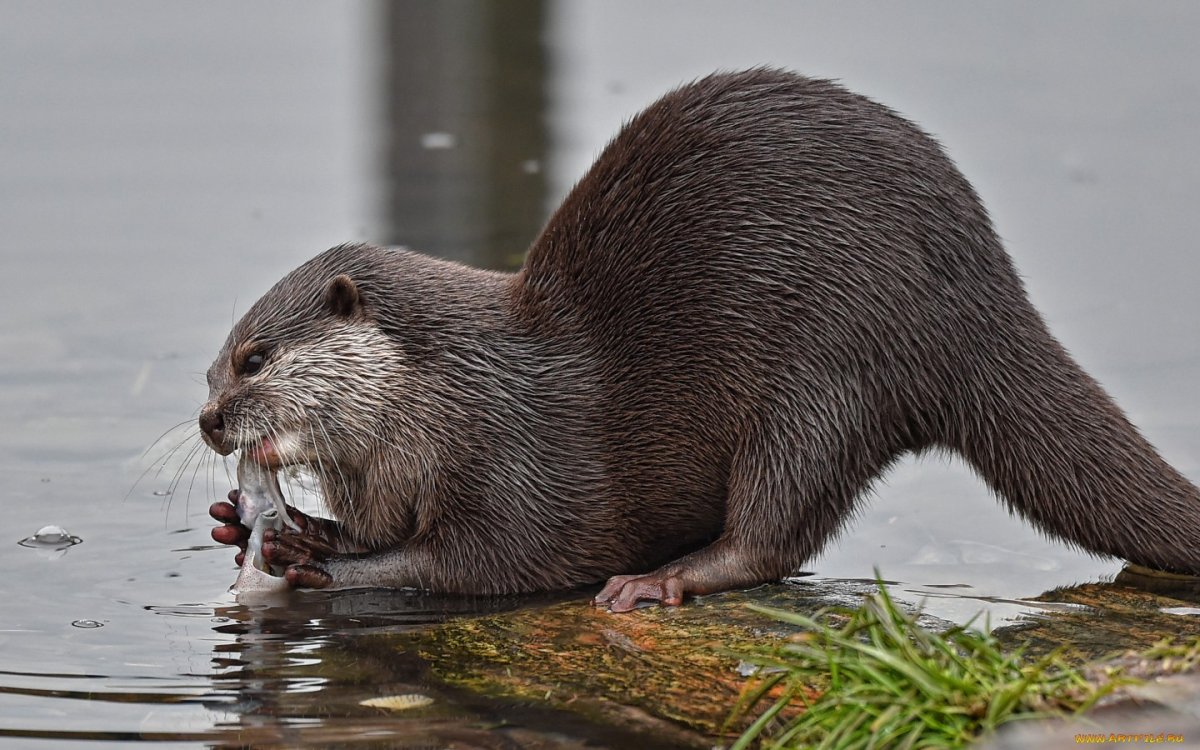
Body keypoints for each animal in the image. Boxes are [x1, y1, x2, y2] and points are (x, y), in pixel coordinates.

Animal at [204, 67, 1200, 612]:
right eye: (212, 368)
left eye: (257, 358)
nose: (212, 421)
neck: (447, 398)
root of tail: (990, 292)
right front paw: (266, 526)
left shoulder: (514, 461)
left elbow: (479, 562)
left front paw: (313, 561)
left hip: (829, 373)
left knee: (776, 531)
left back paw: (664, 580)